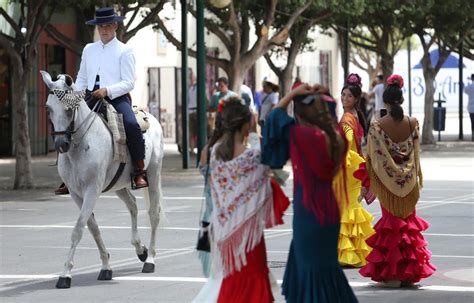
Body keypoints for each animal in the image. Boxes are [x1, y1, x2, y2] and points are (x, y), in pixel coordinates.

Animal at [41, 70, 167, 290]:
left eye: (68, 110)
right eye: (49, 108)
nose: (61, 144)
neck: (80, 145)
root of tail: (151, 117)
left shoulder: (92, 189)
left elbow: (78, 229)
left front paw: (65, 274)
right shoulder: (76, 193)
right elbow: (92, 228)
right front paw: (106, 266)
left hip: (153, 174)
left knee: (153, 214)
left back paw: (150, 259)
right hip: (118, 185)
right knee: (132, 206)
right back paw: (140, 249)